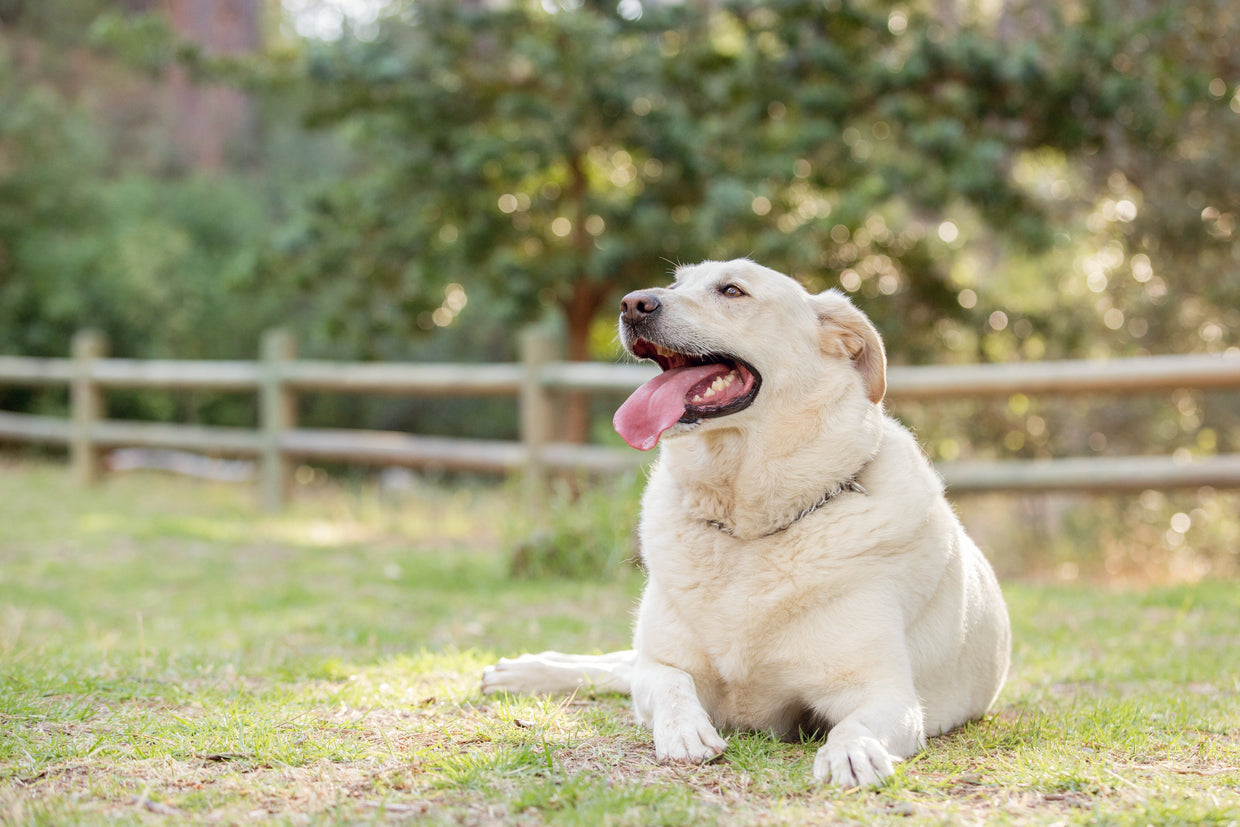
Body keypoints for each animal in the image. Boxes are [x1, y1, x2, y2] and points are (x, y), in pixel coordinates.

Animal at [478, 259, 1011, 788]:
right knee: (619, 665)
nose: (632, 303)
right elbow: (669, 681)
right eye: (675, 283)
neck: (747, 529)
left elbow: (857, 725)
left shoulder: (884, 692)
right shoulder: (666, 663)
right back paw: (522, 671)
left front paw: (853, 753)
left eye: (732, 291)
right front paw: (685, 731)